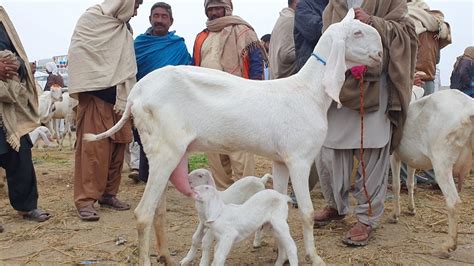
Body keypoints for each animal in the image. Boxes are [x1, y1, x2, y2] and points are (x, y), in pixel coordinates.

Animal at [84, 9, 382, 264]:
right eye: (357, 33)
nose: (380, 54)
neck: (308, 91)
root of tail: (136, 95)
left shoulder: (281, 160)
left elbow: (280, 202)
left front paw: (279, 251)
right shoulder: (299, 158)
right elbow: (307, 214)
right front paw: (314, 256)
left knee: (158, 210)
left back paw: (166, 256)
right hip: (165, 149)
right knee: (143, 214)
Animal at [390, 89, 472, 258]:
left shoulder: (393, 155)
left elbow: (395, 185)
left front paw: (395, 215)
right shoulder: (412, 159)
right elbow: (410, 183)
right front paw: (411, 209)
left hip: (442, 163)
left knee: (453, 201)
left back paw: (448, 246)